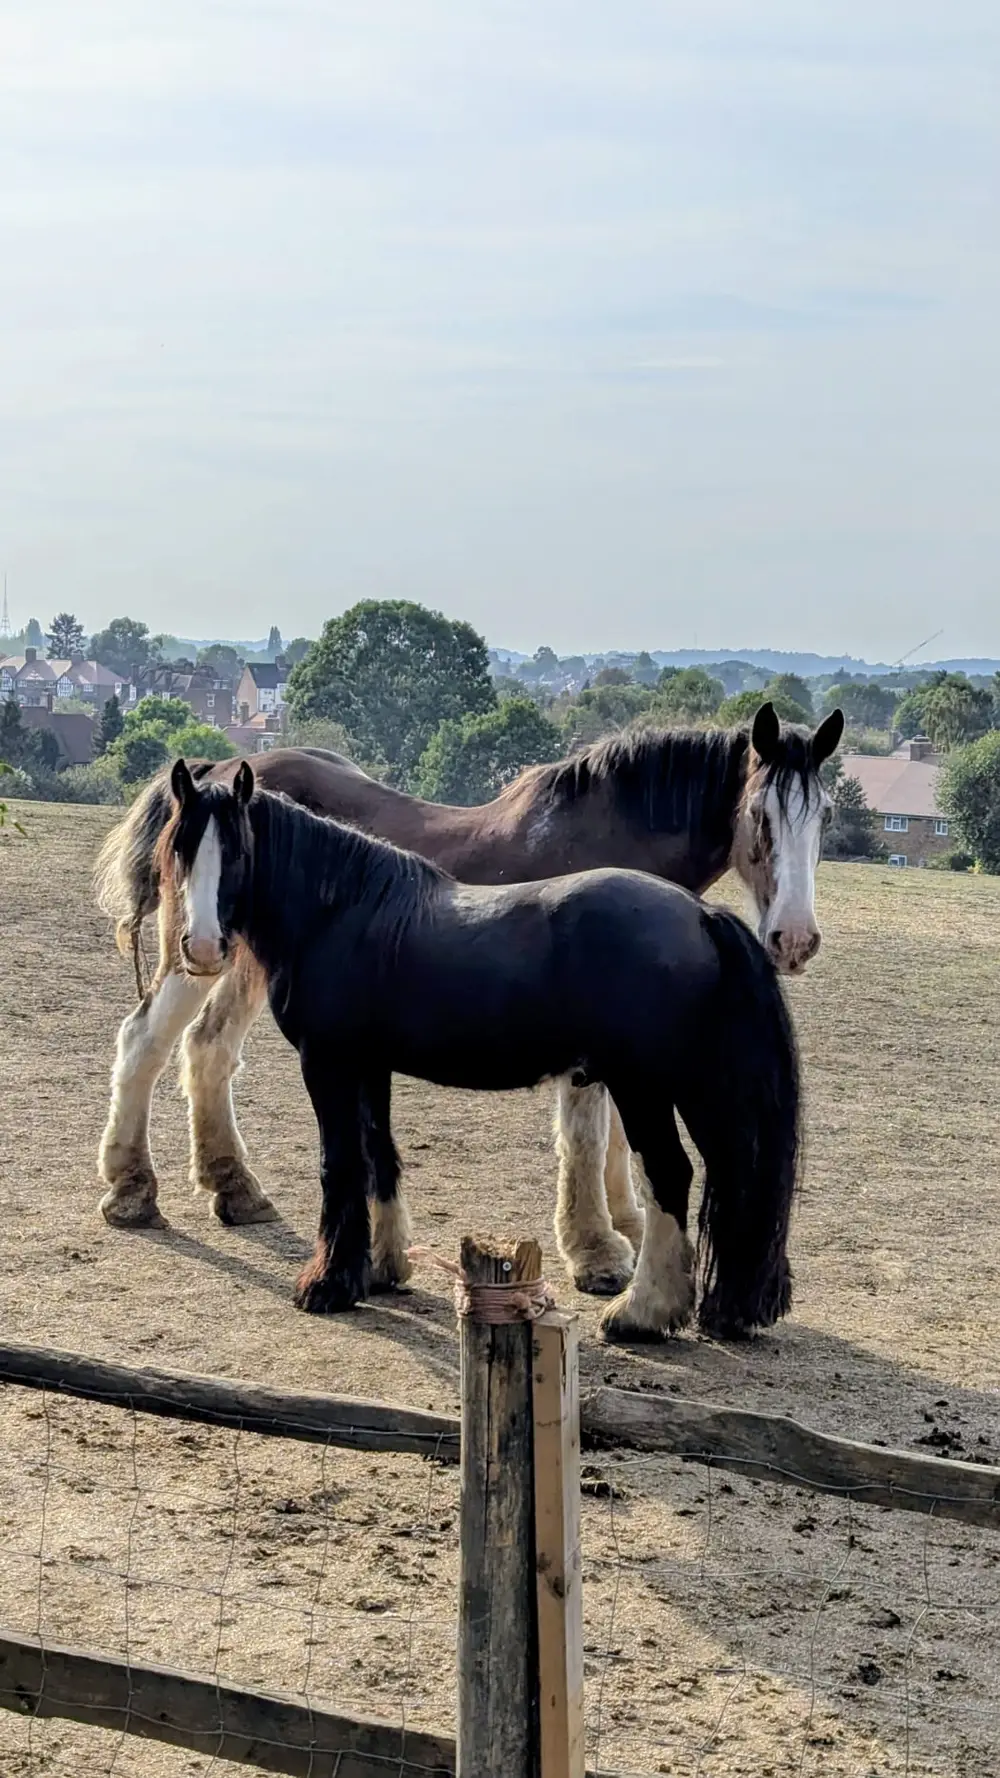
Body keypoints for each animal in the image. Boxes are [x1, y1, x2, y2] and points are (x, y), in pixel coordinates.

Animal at [94, 702, 842, 1294]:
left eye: (825, 819)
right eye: (760, 815)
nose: (794, 939)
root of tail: (222, 766)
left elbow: (612, 1137)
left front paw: (625, 1225)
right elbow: (586, 1134)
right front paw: (596, 1250)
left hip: (235, 961)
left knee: (209, 1048)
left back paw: (233, 1186)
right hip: (200, 955)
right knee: (145, 1040)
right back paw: (131, 1188)